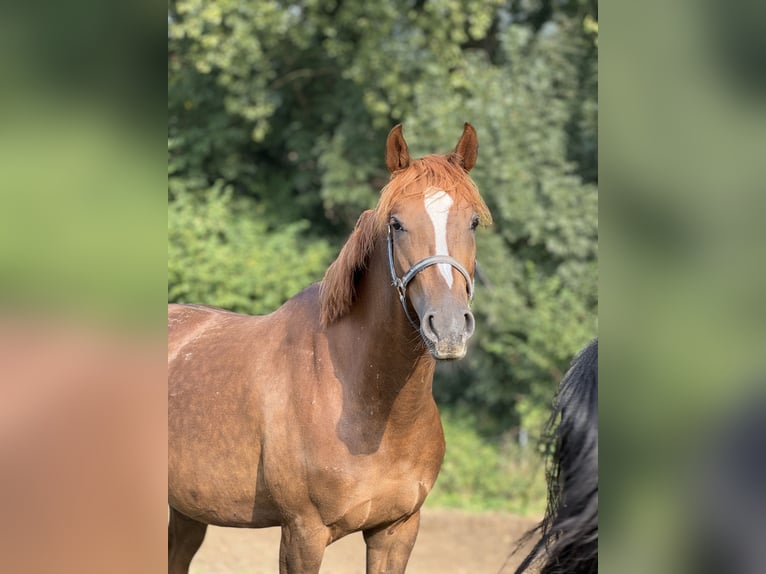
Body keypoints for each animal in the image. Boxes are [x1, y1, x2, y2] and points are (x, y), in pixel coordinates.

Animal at [168, 124, 492, 572]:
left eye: (473, 221)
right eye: (396, 224)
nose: (447, 327)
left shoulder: (397, 531)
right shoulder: (303, 534)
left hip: (186, 512)